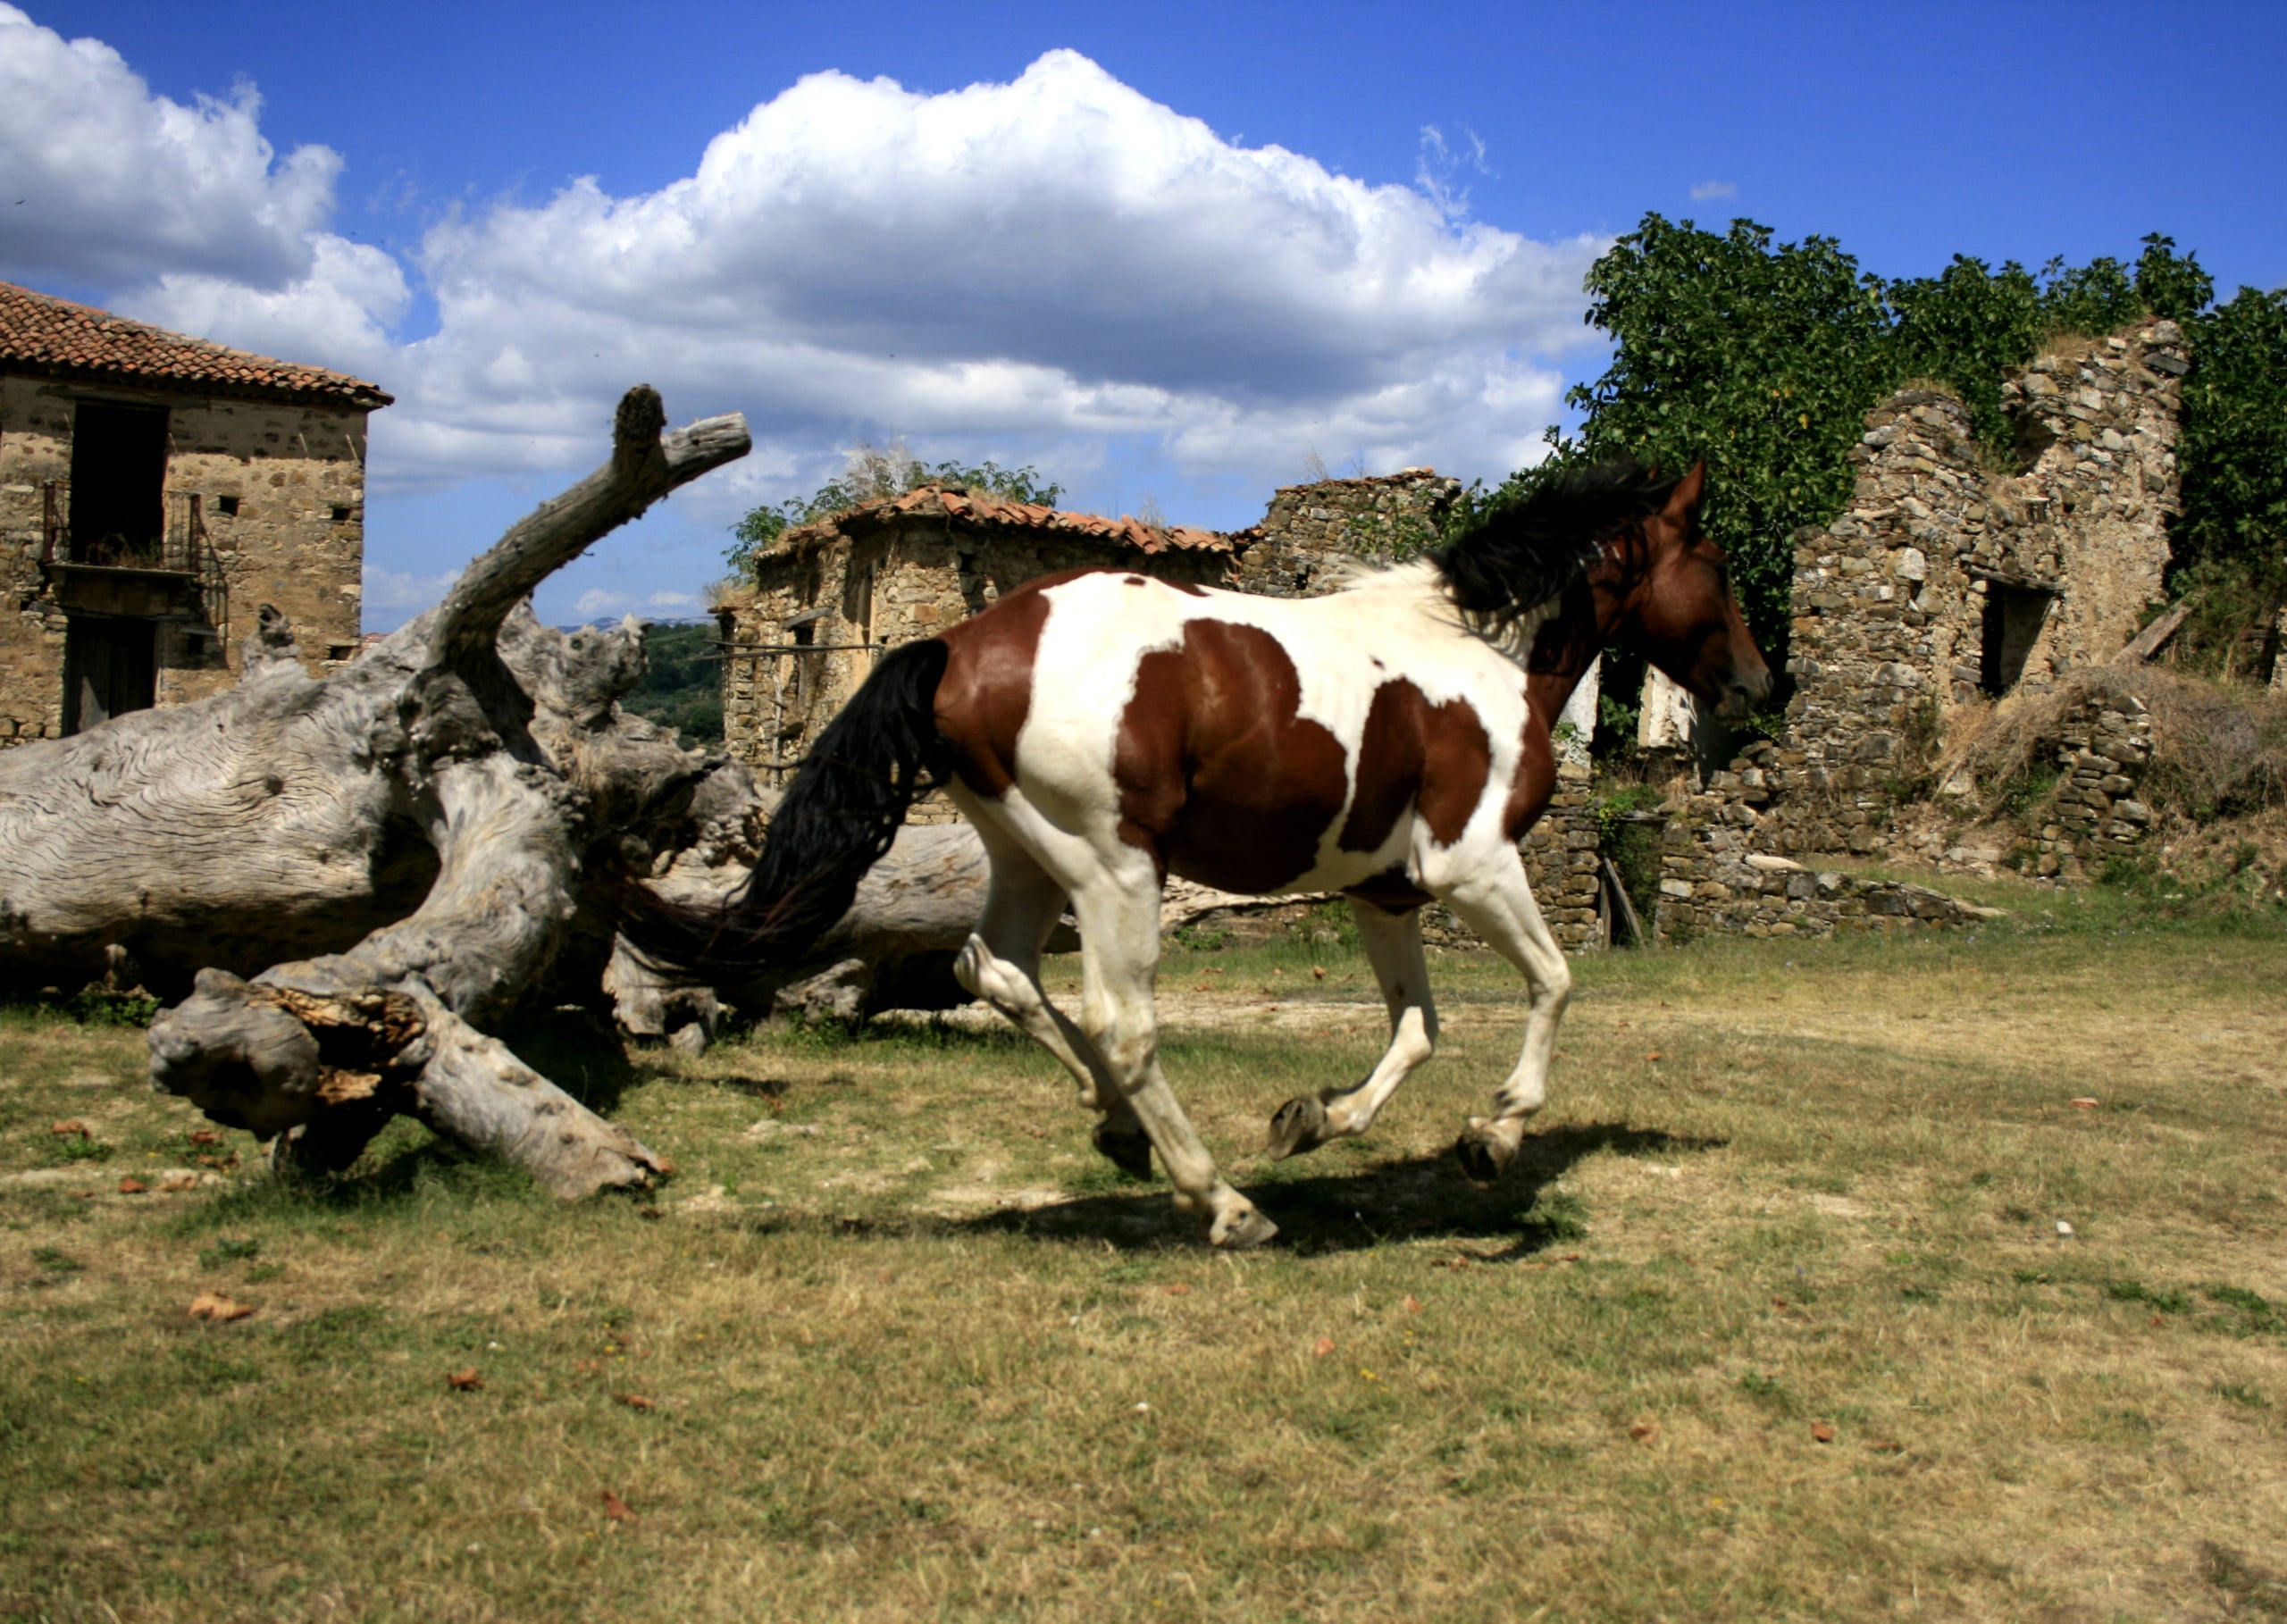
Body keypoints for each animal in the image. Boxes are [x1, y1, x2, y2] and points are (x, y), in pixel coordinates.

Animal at [628, 457, 1771, 1247]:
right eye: (1714, 565)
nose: (1762, 686)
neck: (1478, 655)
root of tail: (952, 644)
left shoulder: (1385, 895)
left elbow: (1416, 1031)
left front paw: (1312, 1119)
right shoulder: (1472, 868)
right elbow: (1555, 982)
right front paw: (1494, 1138)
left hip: (1025, 858)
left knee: (992, 970)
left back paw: (1119, 1130)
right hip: (1114, 870)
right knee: (1119, 1022)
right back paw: (1221, 1202)